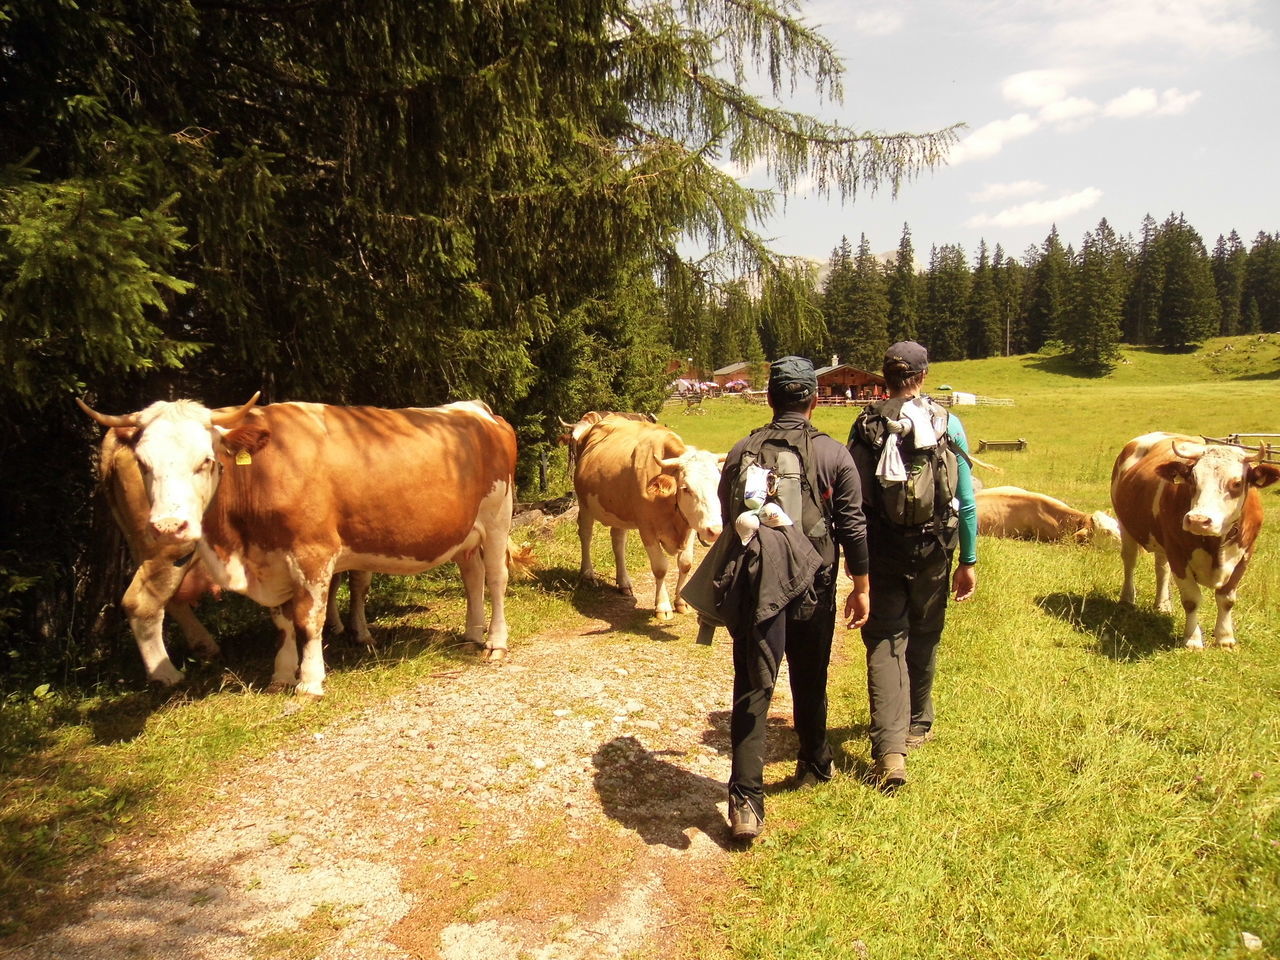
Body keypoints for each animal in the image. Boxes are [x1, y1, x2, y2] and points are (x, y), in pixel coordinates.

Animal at [1111, 435, 1280, 647]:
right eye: (1192, 479)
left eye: (1236, 483)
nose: (1198, 520)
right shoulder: (1177, 553)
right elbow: (1191, 599)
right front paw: (1192, 639)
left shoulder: (1245, 556)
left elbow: (1227, 599)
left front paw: (1225, 638)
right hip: (1125, 524)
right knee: (1130, 561)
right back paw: (1127, 598)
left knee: (1161, 569)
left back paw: (1162, 604)